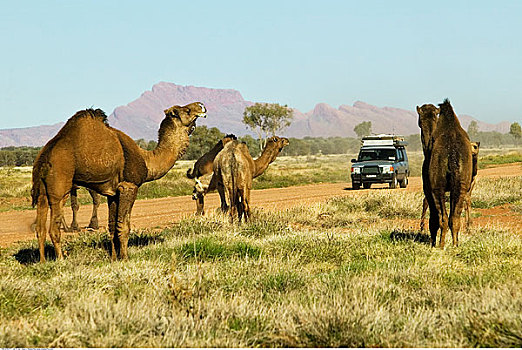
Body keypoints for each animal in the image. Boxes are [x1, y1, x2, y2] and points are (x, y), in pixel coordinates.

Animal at [31, 102, 207, 262]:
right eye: (186, 110)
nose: (202, 106)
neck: (147, 160)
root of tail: (44, 157)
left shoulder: (113, 193)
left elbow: (112, 226)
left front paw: (114, 258)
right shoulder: (128, 186)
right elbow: (124, 226)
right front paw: (125, 258)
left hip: (42, 191)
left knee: (40, 227)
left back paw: (43, 262)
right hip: (60, 186)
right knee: (54, 227)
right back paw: (61, 259)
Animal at [420, 98, 470, 246]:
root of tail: (452, 153)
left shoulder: (427, 188)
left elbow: (433, 218)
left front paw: (432, 243)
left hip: (437, 186)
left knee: (442, 218)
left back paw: (440, 246)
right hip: (462, 184)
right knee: (454, 218)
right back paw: (455, 245)